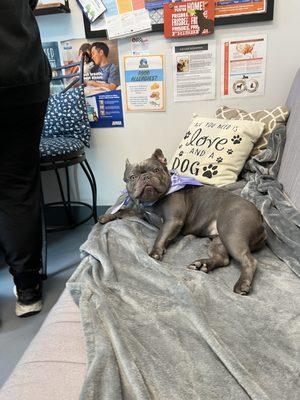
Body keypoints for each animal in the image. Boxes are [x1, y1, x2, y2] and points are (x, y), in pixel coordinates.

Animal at [99, 148, 266, 296]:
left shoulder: (173, 221)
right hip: (220, 239)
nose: (145, 177)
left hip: (232, 233)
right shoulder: (139, 212)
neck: (152, 202)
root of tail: (259, 214)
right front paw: (106, 217)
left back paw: (242, 284)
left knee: (249, 260)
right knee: (223, 259)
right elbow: (122, 211)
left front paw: (155, 253)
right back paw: (202, 265)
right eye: (132, 177)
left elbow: (161, 235)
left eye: (156, 170)